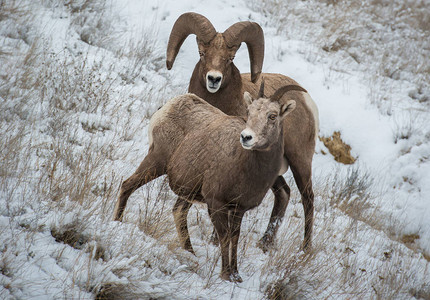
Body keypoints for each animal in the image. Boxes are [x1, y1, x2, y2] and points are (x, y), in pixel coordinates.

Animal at [111, 84, 306, 282]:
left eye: (272, 116)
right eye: (249, 112)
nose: (246, 137)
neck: (246, 166)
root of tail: (167, 107)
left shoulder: (238, 209)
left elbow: (235, 238)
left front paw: (236, 275)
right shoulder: (216, 203)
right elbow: (224, 237)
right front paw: (226, 274)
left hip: (186, 190)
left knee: (178, 211)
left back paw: (190, 252)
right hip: (156, 163)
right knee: (127, 185)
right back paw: (117, 222)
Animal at [165, 12, 320, 251]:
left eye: (231, 58)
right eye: (202, 53)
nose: (214, 79)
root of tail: (306, 100)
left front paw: (214, 242)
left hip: (300, 162)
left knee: (308, 199)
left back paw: (304, 249)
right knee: (284, 193)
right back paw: (265, 243)